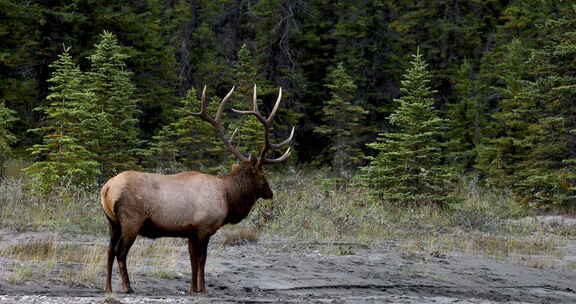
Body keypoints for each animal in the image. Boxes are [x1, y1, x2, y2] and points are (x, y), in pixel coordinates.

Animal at [98, 85, 292, 294]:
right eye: (263, 176)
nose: (270, 193)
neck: (228, 197)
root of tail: (107, 188)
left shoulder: (190, 231)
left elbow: (192, 259)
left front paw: (192, 288)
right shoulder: (204, 227)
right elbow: (201, 259)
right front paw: (203, 288)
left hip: (112, 222)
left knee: (109, 250)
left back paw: (108, 287)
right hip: (131, 220)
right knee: (120, 252)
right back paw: (127, 287)